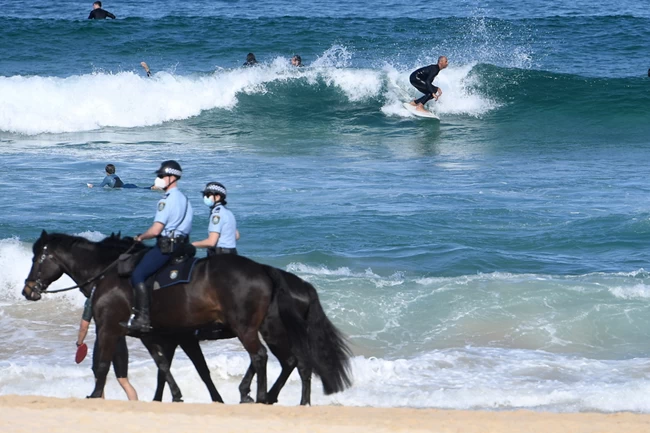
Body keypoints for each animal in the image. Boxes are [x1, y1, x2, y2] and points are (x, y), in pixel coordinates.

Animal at [22, 231, 352, 404]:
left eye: (37, 258)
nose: (28, 290)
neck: (110, 272)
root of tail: (265, 271)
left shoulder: (110, 328)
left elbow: (103, 364)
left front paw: (95, 395)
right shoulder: (163, 336)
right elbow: (167, 367)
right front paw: (172, 397)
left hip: (252, 329)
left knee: (265, 358)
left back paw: (258, 396)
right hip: (273, 331)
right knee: (295, 362)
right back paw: (282, 398)